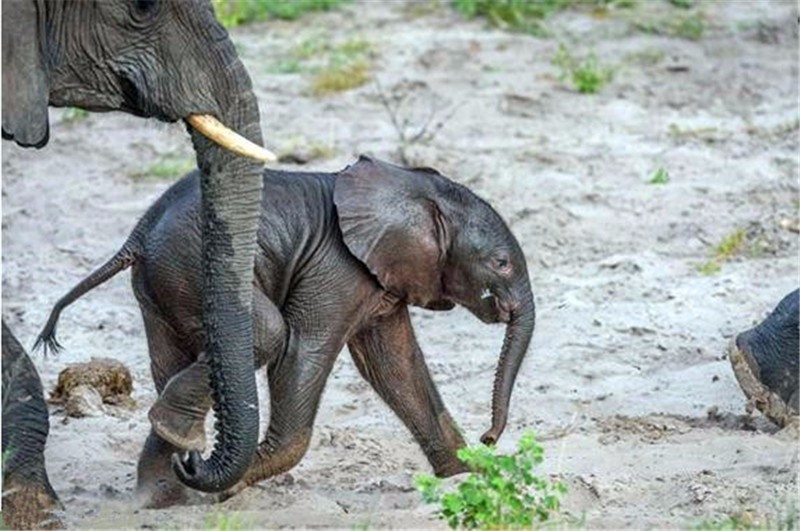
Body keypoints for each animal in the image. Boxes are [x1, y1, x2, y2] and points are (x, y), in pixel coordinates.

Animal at [39, 156, 536, 510]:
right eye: (501, 263)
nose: (490, 437)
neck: (414, 188)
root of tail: (138, 234)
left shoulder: (381, 279)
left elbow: (396, 366)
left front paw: (468, 481)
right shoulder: (336, 268)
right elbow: (304, 351)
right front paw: (228, 489)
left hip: (163, 283)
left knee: (174, 360)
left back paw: (165, 487)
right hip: (192, 269)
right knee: (267, 335)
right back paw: (185, 461)